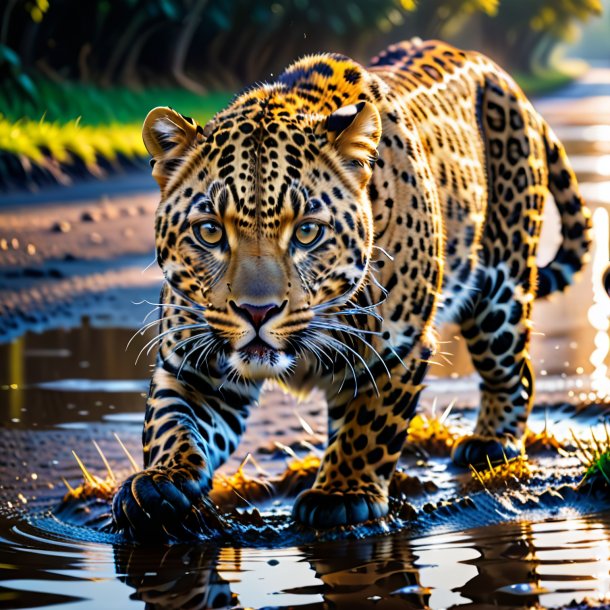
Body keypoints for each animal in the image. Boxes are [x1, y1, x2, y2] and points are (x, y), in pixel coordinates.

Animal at [109, 36, 588, 536]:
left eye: (307, 232)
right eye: (209, 231)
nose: (257, 312)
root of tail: (500, 75)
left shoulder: (397, 350)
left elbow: (368, 428)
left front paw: (342, 493)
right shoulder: (193, 365)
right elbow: (173, 423)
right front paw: (159, 482)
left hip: (500, 289)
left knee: (514, 370)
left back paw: (493, 443)